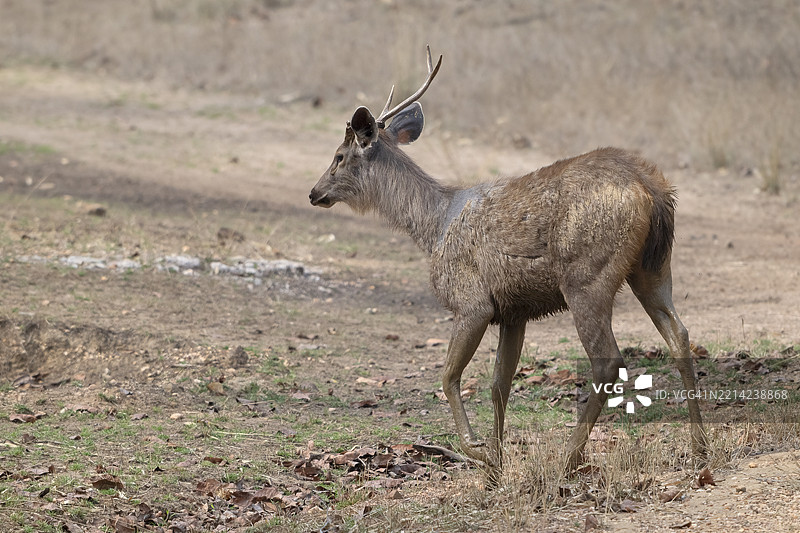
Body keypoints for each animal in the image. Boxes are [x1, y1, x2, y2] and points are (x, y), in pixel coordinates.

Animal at [309, 46, 708, 476]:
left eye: (339, 156)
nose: (314, 193)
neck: (434, 226)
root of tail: (651, 189)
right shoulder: (514, 311)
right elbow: (499, 384)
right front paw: (497, 465)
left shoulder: (472, 301)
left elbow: (449, 376)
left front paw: (477, 449)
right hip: (653, 268)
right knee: (679, 336)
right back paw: (700, 447)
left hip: (586, 276)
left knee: (609, 362)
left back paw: (568, 458)